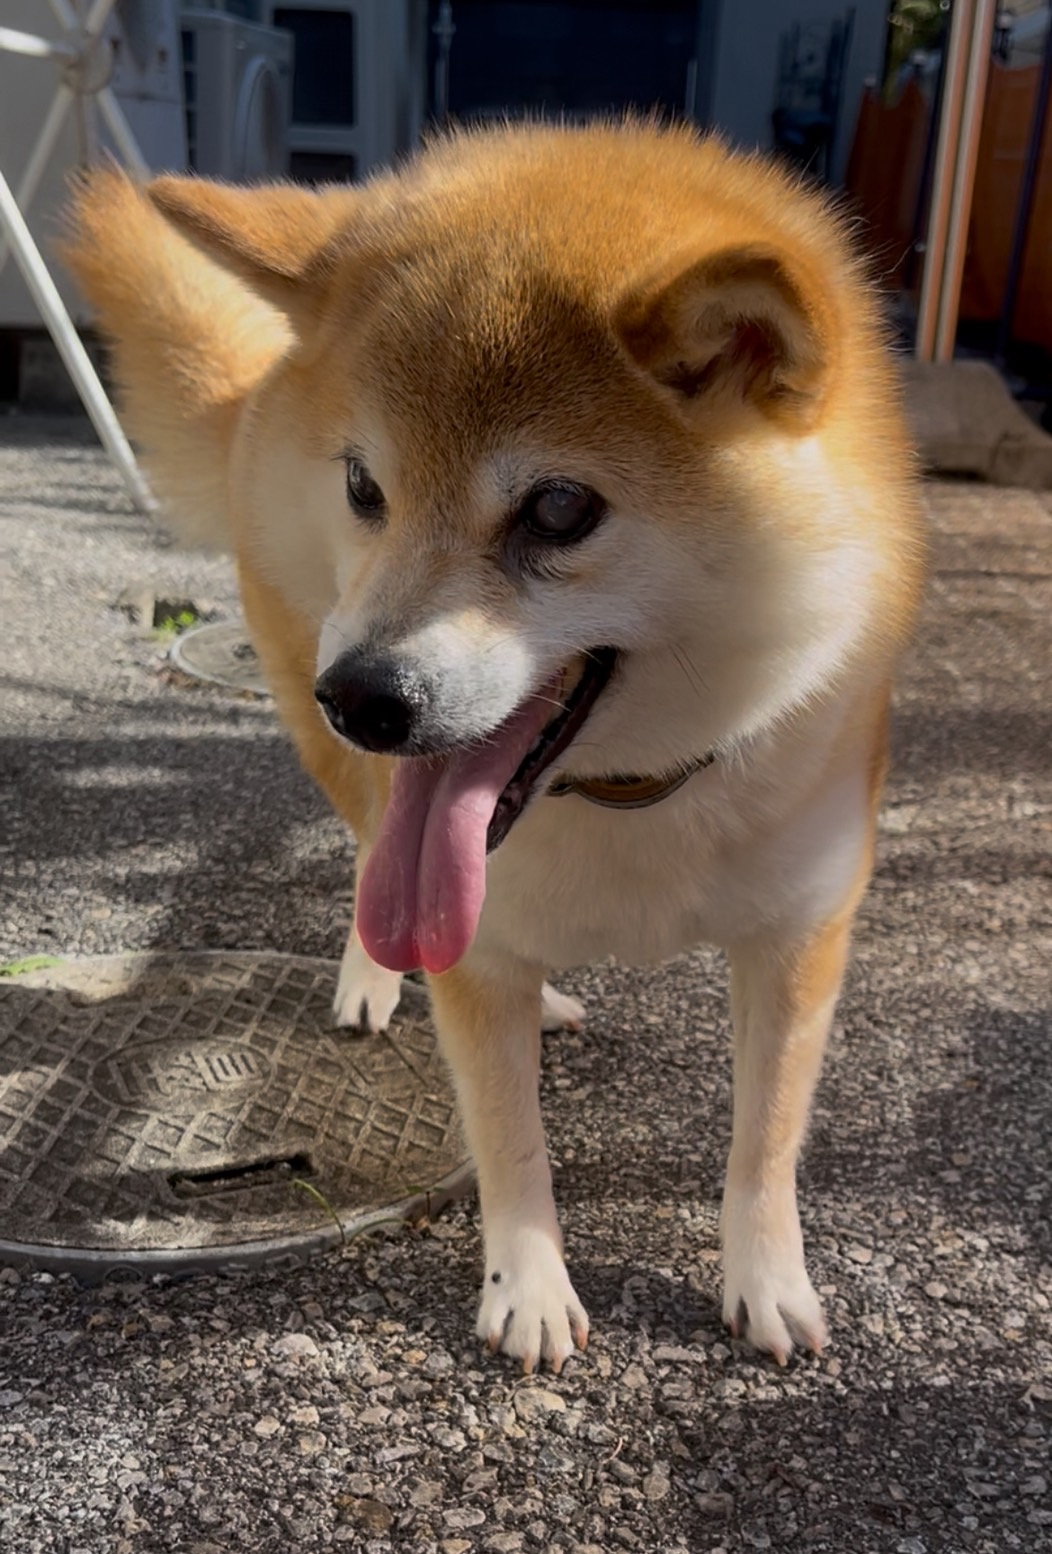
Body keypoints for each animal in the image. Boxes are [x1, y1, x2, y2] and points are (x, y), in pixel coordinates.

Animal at [65, 120, 923, 1373]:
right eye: (363, 483)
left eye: (559, 509)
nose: (360, 697)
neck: (625, 792)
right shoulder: (469, 944)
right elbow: (506, 1136)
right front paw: (527, 1285)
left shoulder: (800, 933)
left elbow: (764, 1140)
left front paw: (764, 1279)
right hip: (330, 742)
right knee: (373, 855)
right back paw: (377, 974)